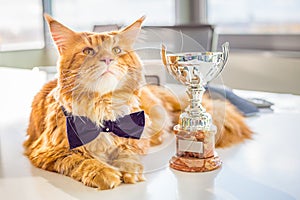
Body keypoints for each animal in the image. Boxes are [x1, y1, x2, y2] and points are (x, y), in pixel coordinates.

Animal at [24, 14, 252, 189]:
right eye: (88, 51)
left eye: (116, 51)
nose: (107, 59)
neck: (102, 107)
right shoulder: (47, 150)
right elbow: (79, 160)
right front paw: (104, 172)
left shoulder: (137, 136)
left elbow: (127, 151)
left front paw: (128, 170)